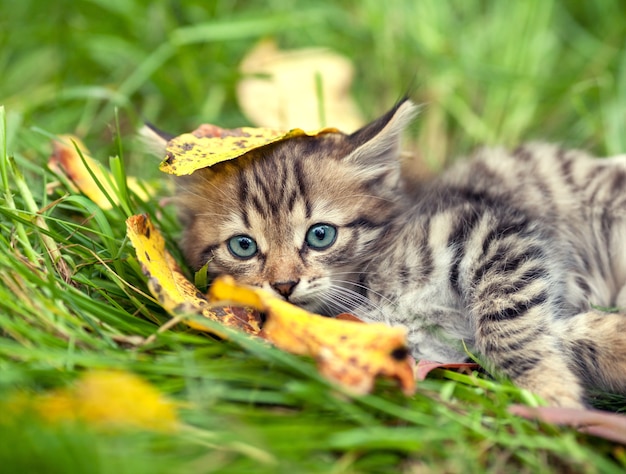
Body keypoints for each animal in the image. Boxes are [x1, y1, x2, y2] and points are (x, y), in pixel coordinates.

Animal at [150, 100, 624, 408]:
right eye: (243, 246)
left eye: (320, 235)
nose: (283, 285)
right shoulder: (438, 346)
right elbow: (556, 331)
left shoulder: (488, 232)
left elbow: (508, 328)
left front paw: (550, 392)